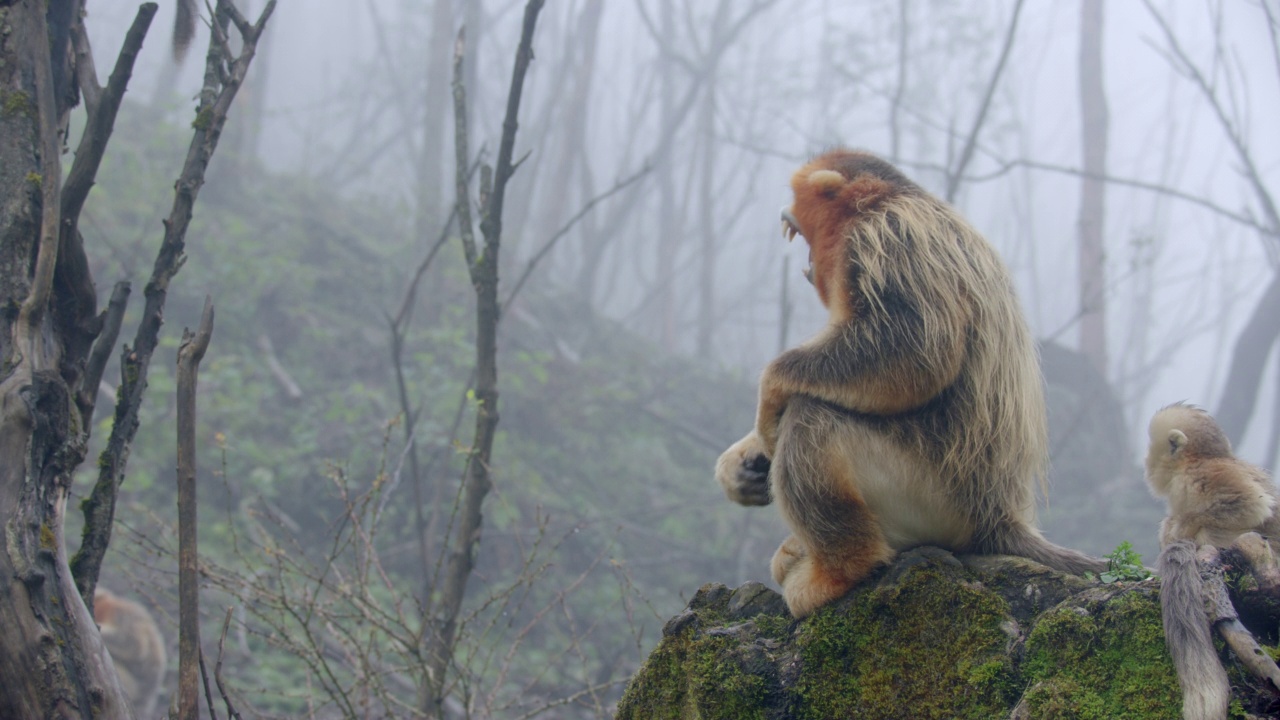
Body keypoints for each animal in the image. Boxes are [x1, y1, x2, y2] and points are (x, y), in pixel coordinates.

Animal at [716, 147, 1105, 617]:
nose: (781, 213)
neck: (886, 199)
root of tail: (1000, 517)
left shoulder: (887, 236)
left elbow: (916, 350)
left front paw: (771, 389)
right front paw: (746, 457)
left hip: (936, 499)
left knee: (812, 418)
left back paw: (838, 573)